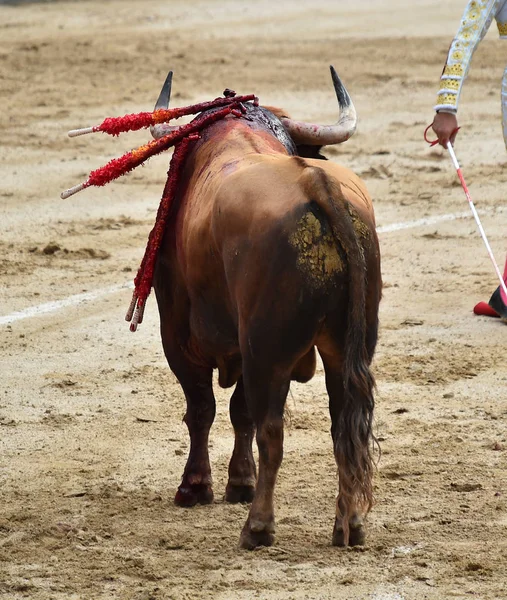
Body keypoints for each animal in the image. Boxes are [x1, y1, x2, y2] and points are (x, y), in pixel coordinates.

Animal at [151, 69, 380, 548]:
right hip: (346, 346)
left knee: (272, 431)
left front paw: (196, 487)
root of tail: (316, 183)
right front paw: (239, 482)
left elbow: (204, 409)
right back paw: (348, 525)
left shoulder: (177, 336)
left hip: (266, 350)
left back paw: (258, 527)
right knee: (344, 424)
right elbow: (238, 412)